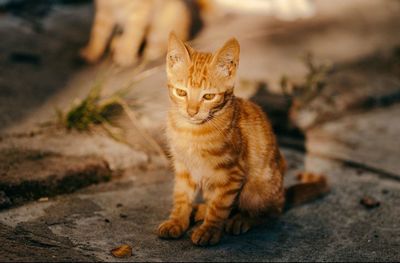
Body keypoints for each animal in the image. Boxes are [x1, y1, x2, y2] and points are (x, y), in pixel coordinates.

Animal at [157, 33, 288, 248]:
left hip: (257, 188)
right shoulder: (183, 168)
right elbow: (182, 196)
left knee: (269, 213)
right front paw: (177, 220)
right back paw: (201, 210)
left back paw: (241, 219)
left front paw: (209, 230)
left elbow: (219, 206)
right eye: (181, 92)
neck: (192, 131)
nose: (191, 111)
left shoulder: (231, 174)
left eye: (209, 96)